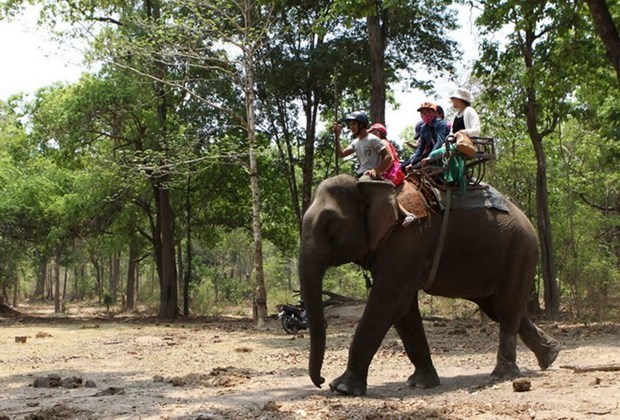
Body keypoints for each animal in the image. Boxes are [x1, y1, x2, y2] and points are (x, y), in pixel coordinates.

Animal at [298, 174, 560, 398]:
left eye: (331, 222)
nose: (320, 381)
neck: (369, 183)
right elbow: (403, 310)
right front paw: (421, 384)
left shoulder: (408, 239)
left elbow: (388, 302)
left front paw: (341, 388)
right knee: (497, 307)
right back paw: (551, 355)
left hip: (520, 250)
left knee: (506, 308)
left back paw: (502, 375)